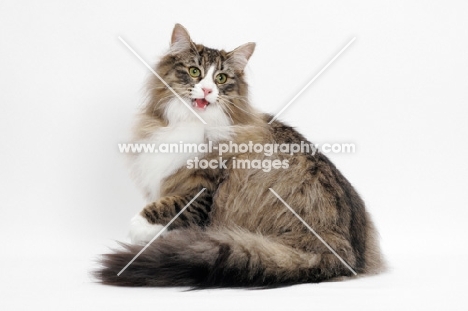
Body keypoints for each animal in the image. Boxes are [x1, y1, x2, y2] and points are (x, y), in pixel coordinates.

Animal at [95, 23, 384, 288]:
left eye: (221, 78)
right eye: (194, 72)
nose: (207, 90)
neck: (192, 122)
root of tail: (346, 254)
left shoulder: (203, 189)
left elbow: (171, 206)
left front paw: (138, 227)